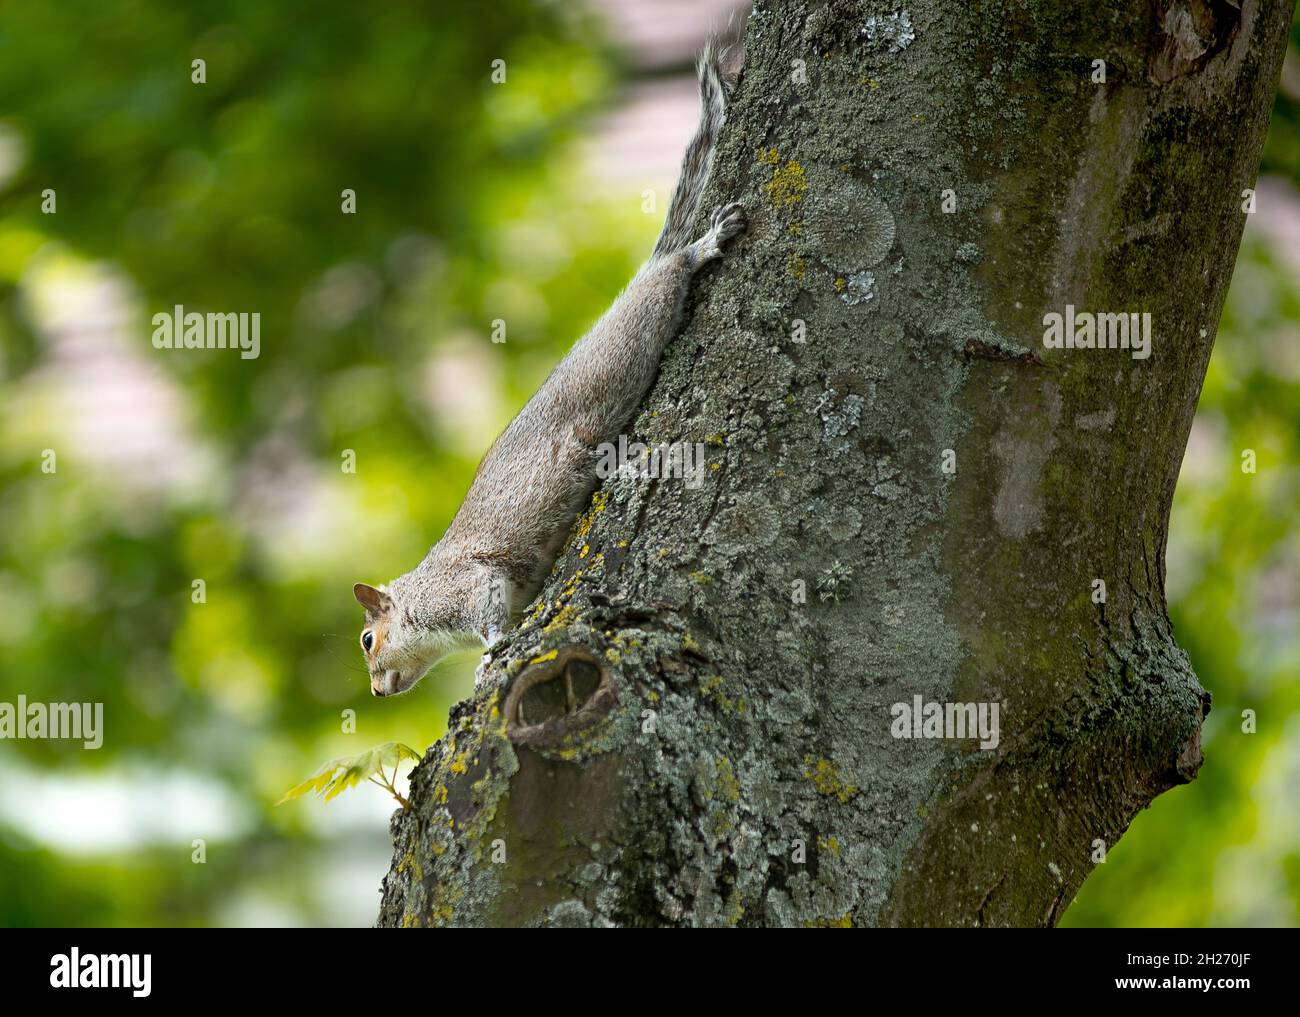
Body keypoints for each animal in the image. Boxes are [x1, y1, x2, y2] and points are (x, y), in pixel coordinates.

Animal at [353, 41, 745, 697]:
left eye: (367, 640)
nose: (379, 691)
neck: (423, 602)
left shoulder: (465, 587)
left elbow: (489, 617)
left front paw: (487, 657)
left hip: (630, 337)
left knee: (671, 275)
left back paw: (702, 245)